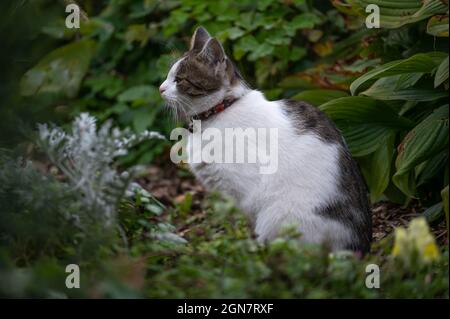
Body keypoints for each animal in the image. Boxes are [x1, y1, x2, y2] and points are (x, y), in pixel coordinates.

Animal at [160, 26, 370, 254]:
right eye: (169, 76)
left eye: (179, 80)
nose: (160, 88)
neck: (219, 111)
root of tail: (358, 245)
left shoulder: (243, 192)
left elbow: (244, 223)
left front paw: (243, 247)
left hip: (279, 214)